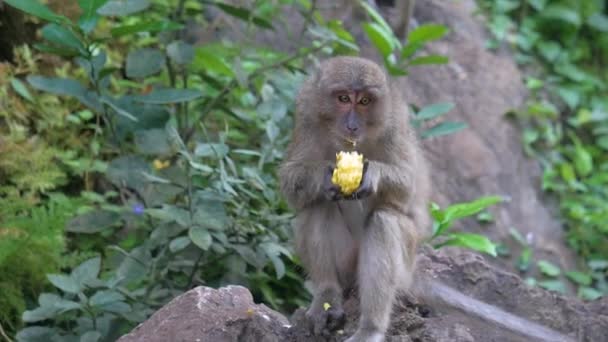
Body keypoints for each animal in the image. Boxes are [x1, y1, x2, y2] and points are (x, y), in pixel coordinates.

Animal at [278, 54, 430, 340]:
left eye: (365, 102)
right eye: (343, 98)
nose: (352, 125)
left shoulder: (395, 122)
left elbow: (408, 188)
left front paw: (373, 175)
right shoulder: (306, 113)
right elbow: (291, 180)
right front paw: (323, 176)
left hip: (406, 269)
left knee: (384, 222)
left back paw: (371, 327)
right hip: (347, 267)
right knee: (318, 205)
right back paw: (327, 295)